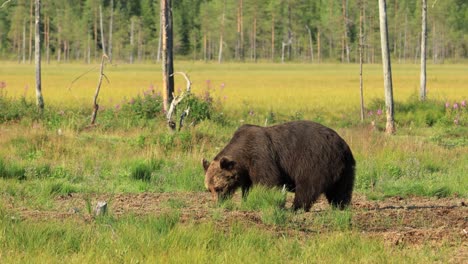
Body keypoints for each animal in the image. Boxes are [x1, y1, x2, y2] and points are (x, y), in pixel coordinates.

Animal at [201, 120, 354, 211]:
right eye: (209, 189)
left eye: (218, 188)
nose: (217, 203)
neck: (243, 156)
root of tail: (342, 145)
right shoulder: (247, 171)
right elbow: (247, 186)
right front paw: (246, 199)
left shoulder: (261, 156)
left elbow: (269, 180)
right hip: (345, 169)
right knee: (341, 190)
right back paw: (340, 207)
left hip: (315, 161)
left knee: (307, 187)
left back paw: (296, 207)